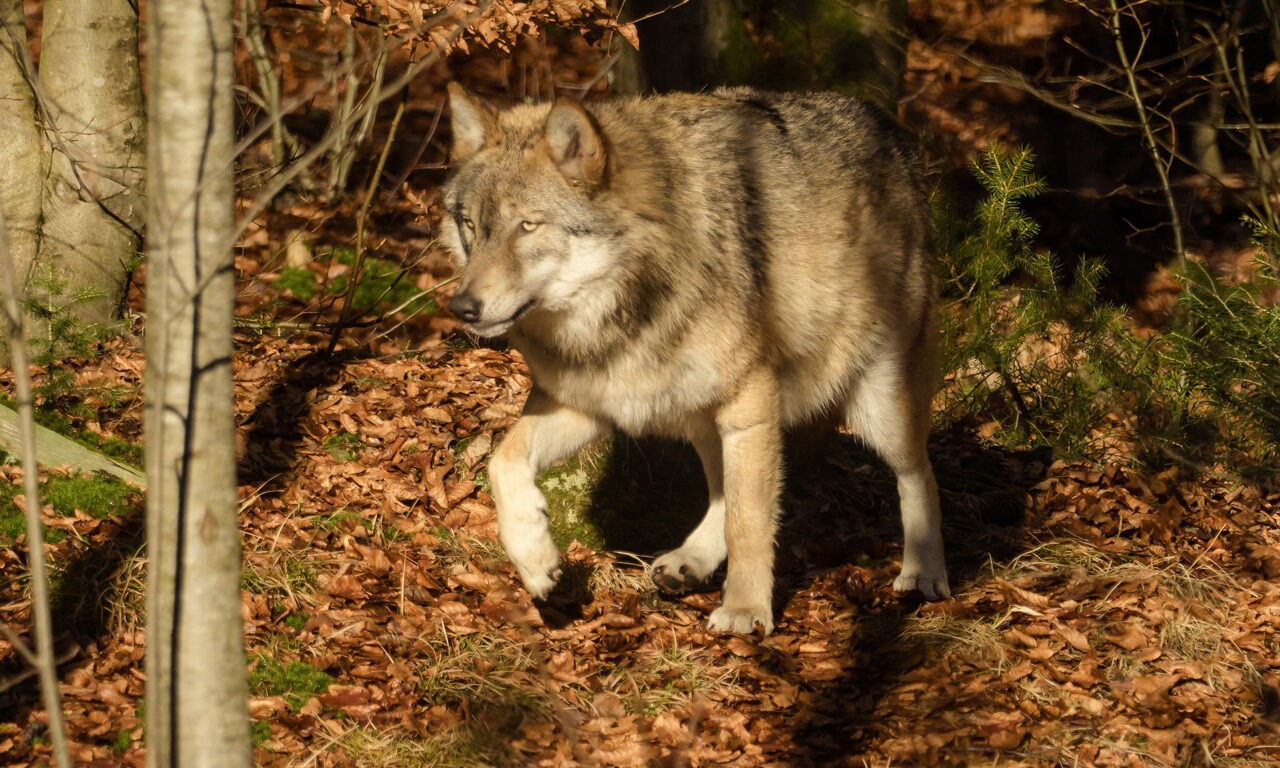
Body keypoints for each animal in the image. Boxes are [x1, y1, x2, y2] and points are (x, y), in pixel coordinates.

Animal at [440, 82, 952, 634]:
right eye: (471, 226)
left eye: (528, 226)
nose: (461, 307)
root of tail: (888, 125)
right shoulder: (592, 402)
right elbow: (501, 462)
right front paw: (536, 562)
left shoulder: (750, 405)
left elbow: (749, 521)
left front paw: (746, 609)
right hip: (699, 413)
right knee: (722, 493)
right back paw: (692, 561)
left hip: (879, 407)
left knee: (919, 473)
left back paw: (925, 573)